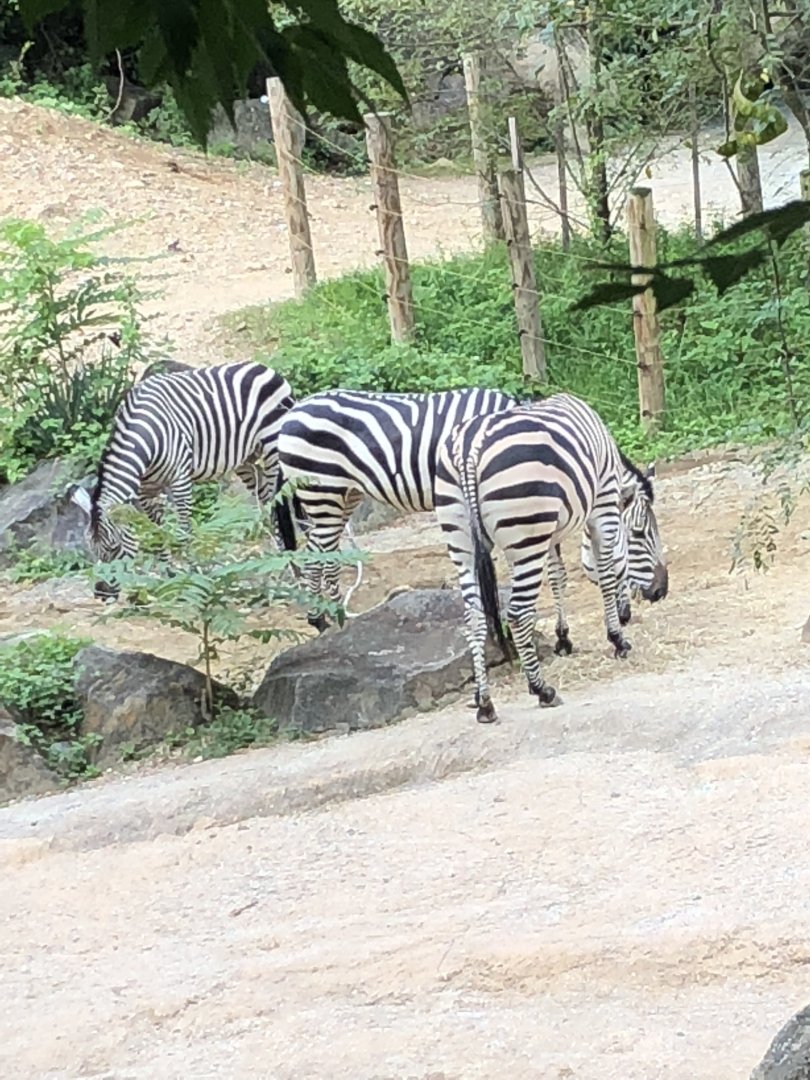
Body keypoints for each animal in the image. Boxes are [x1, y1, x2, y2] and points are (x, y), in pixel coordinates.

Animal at [71, 361, 298, 599]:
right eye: (92, 551)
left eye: (114, 548)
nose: (101, 594)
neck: (146, 434)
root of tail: (264, 368)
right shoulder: (146, 490)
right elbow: (157, 536)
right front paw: (168, 579)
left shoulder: (180, 481)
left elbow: (183, 534)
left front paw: (189, 582)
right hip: (246, 460)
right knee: (264, 499)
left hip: (273, 450)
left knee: (278, 504)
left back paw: (283, 566)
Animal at [433, 392, 668, 723]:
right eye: (638, 533)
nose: (662, 591)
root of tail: (469, 448)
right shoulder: (603, 507)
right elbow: (606, 572)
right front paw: (617, 639)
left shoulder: (551, 530)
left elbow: (558, 577)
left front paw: (563, 638)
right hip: (526, 533)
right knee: (517, 614)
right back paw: (541, 689)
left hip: (462, 540)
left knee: (474, 618)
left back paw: (485, 702)